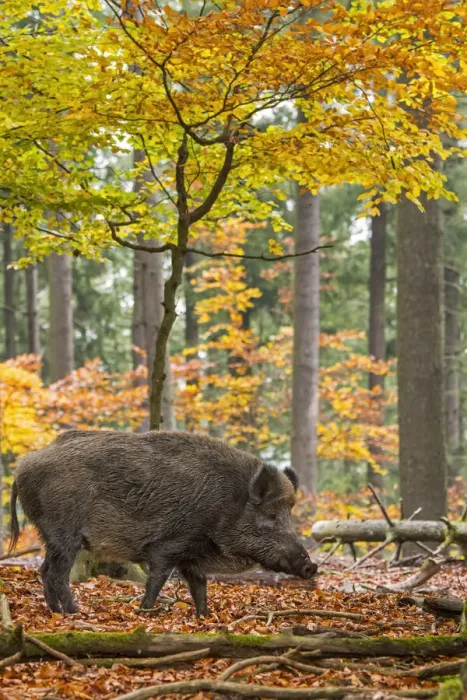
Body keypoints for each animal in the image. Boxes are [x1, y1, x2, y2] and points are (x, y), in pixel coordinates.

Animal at [9, 430, 317, 615]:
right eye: (271, 517)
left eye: (289, 515)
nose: (311, 566)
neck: (225, 505)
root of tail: (23, 466)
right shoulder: (167, 546)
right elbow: (157, 580)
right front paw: (145, 611)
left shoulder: (191, 557)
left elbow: (200, 586)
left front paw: (205, 616)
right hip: (65, 533)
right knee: (58, 573)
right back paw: (74, 611)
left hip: (49, 535)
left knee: (44, 569)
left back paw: (56, 611)